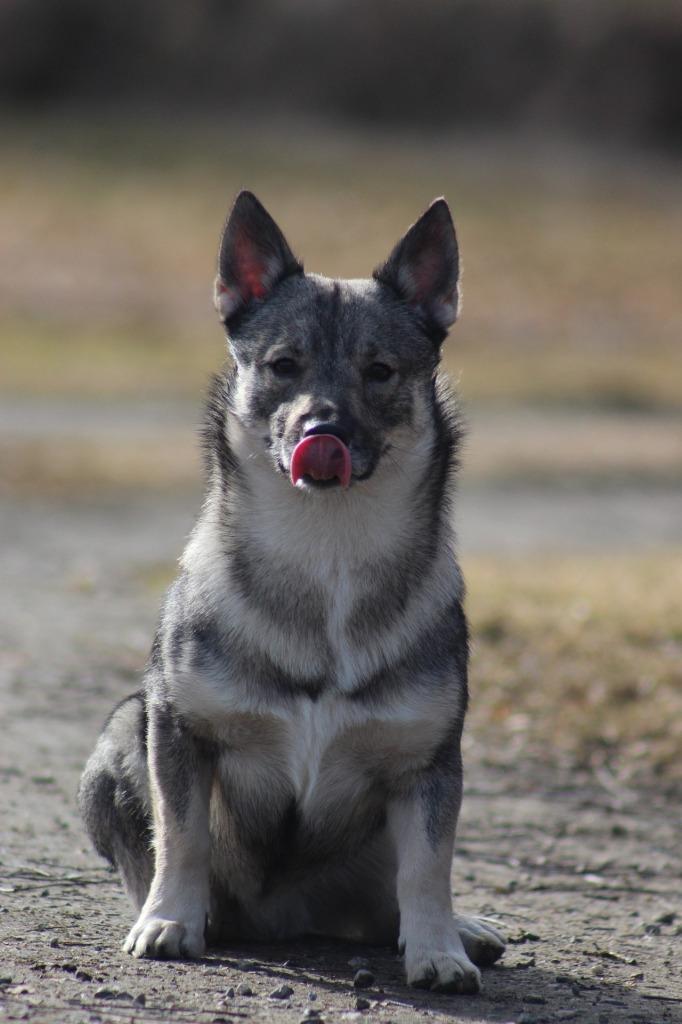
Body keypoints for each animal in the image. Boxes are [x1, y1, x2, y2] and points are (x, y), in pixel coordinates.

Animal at [79, 190, 503, 991]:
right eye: (283, 365)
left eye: (380, 371)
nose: (322, 426)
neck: (326, 550)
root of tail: (288, 918)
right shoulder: (177, 731)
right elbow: (181, 836)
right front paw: (169, 919)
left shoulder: (430, 764)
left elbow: (429, 868)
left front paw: (438, 949)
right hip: (123, 729)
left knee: (390, 900)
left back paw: (456, 932)